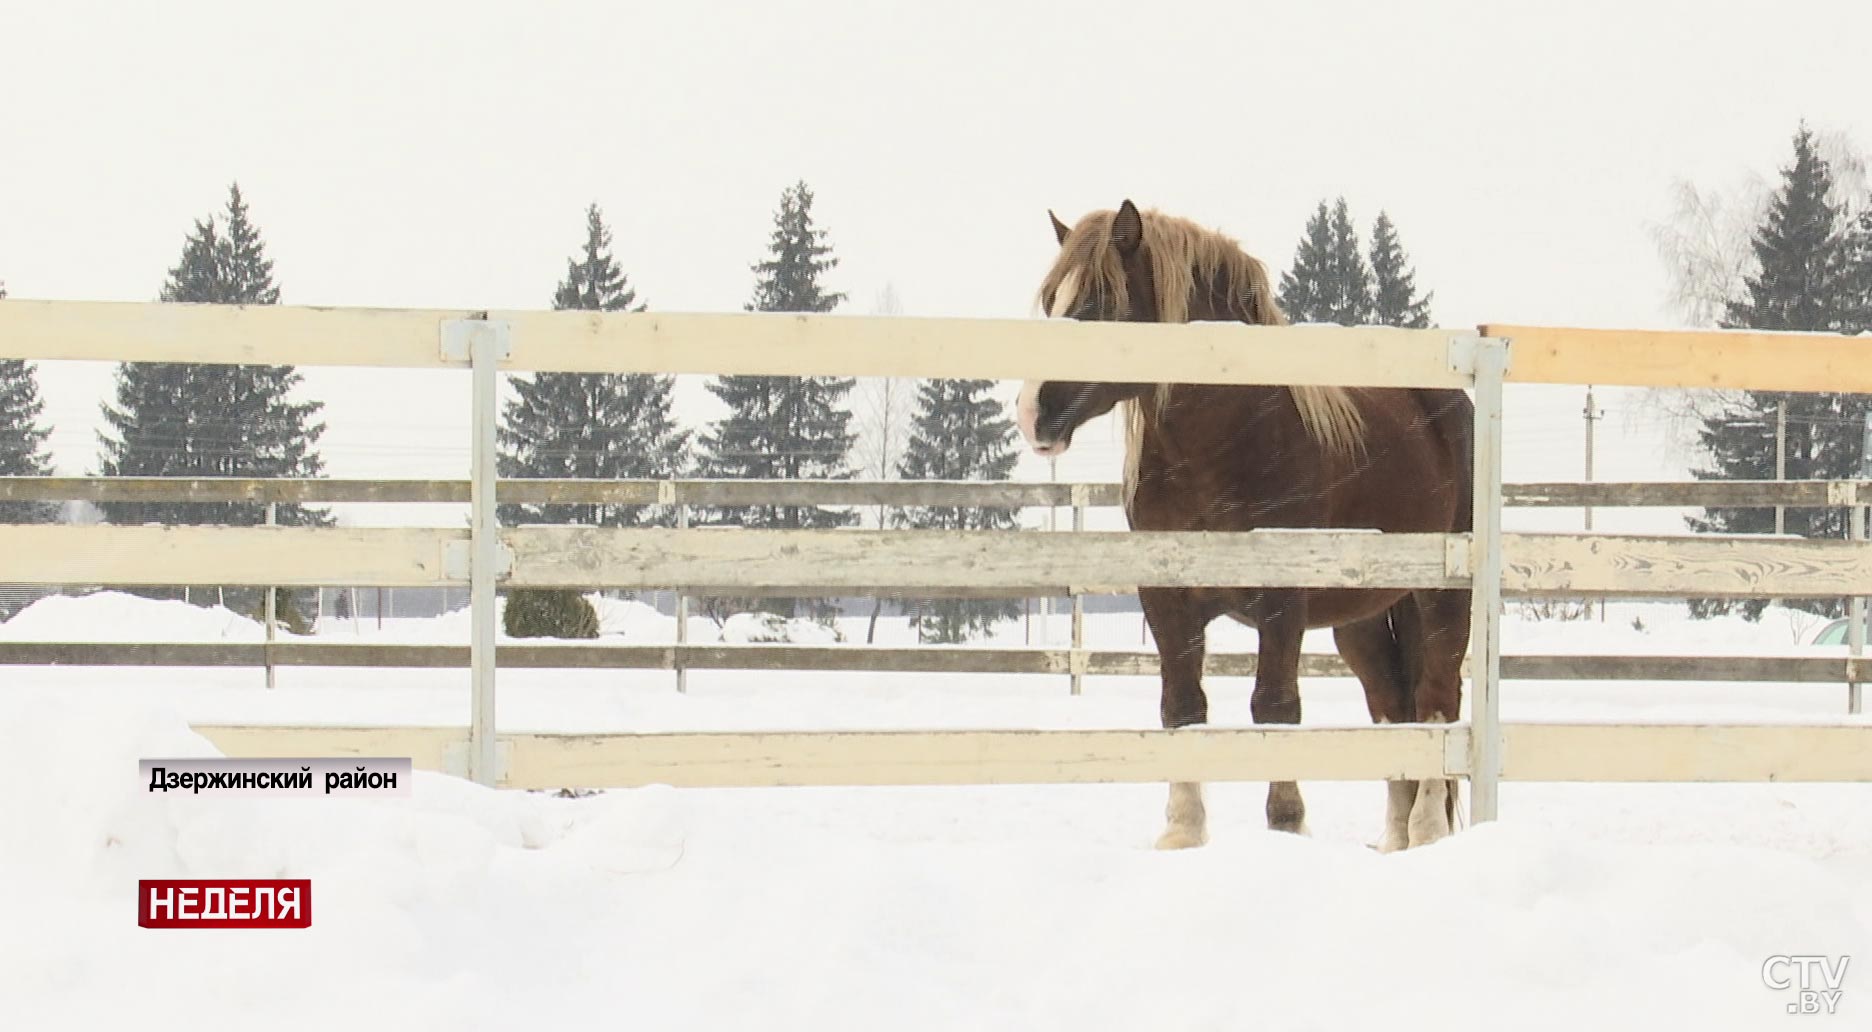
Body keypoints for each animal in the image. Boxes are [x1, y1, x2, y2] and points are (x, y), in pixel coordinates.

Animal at [1018, 202, 1467, 857]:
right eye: (1052, 300)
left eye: (1100, 302)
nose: (1033, 413)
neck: (1223, 444)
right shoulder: (1166, 600)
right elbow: (1181, 705)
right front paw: (1183, 831)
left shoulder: (1282, 600)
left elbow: (1274, 706)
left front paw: (1287, 822)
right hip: (1361, 618)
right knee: (1390, 705)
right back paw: (1394, 839)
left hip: (1441, 598)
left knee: (1437, 699)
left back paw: (1428, 829)